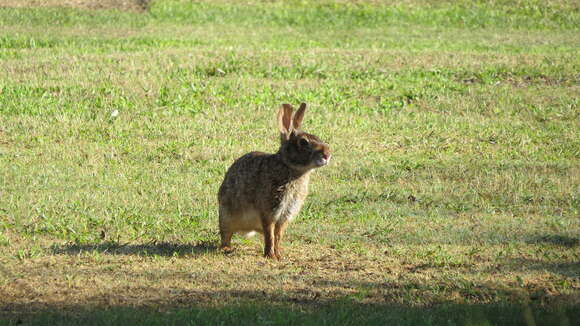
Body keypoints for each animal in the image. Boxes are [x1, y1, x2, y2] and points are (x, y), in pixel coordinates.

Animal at [218, 102, 330, 260]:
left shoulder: (285, 214)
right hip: (226, 215)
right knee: (226, 235)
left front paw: (279, 254)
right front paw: (270, 255)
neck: (289, 167)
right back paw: (227, 248)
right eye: (303, 142)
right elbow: (269, 234)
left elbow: (278, 235)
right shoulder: (268, 210)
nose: (327, 154)